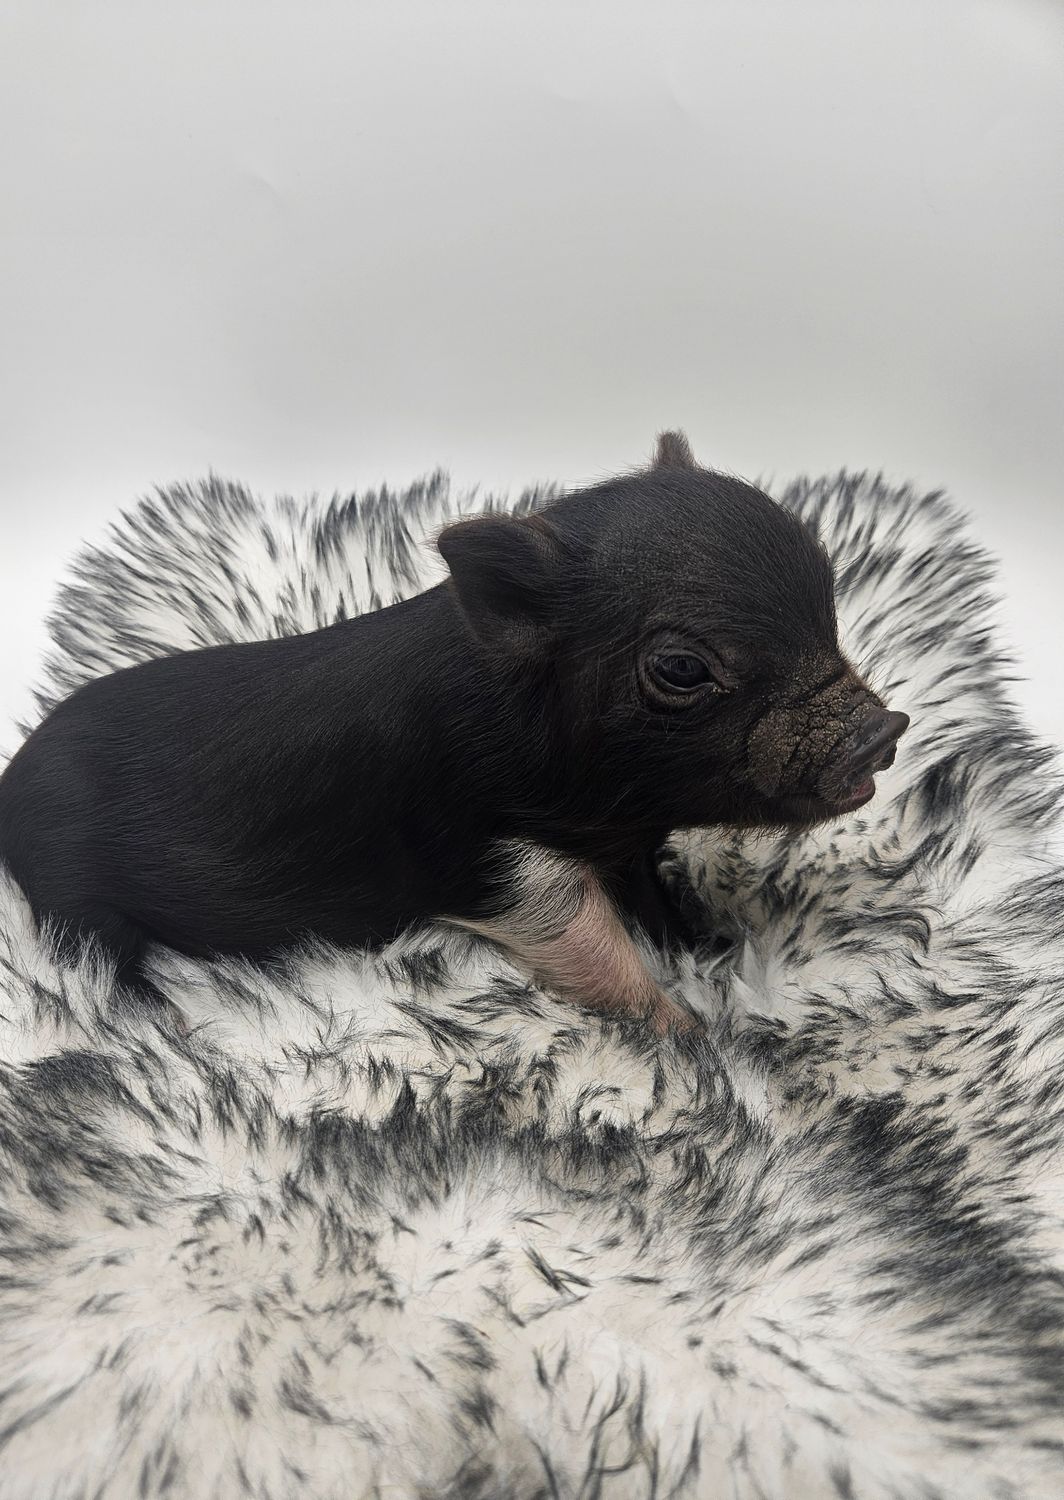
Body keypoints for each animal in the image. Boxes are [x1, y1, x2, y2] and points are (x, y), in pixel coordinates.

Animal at [0, 433, 908, 1033]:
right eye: (682, 668)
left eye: (828, 599)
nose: (882, 730)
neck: (601, 811)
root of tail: (12, 782)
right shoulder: (481, 853)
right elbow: (587, 943)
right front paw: (695, 1034)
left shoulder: (625, 844)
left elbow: (654, 905)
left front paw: (712, 945)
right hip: (71, 890)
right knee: (93, 962)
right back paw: (161, 1016)